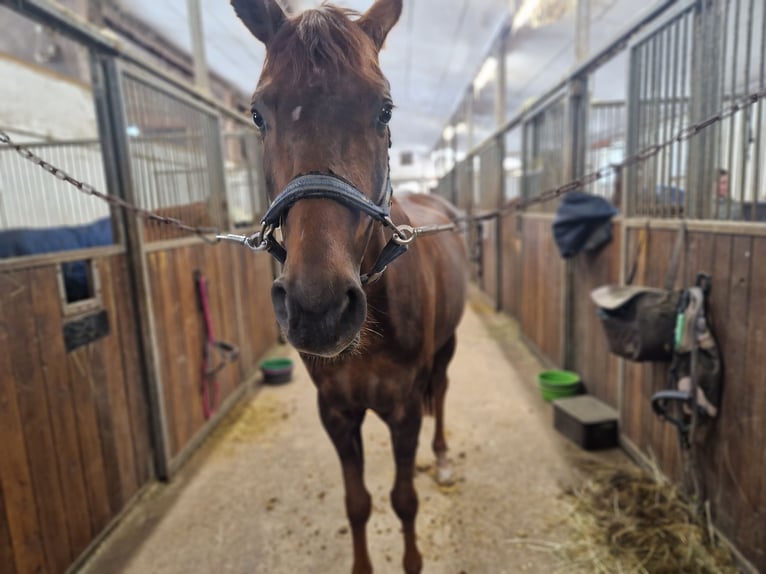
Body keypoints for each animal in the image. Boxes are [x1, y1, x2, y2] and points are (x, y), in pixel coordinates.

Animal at [228, 2, 468, 572]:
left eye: (384, 110)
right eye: (258, 114)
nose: (319, 309)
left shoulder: (404, 411)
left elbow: (404, 500)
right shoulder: (336, 413)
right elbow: (357, 502)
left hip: (447, 345)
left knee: (444, 389)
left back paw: (443, 459)